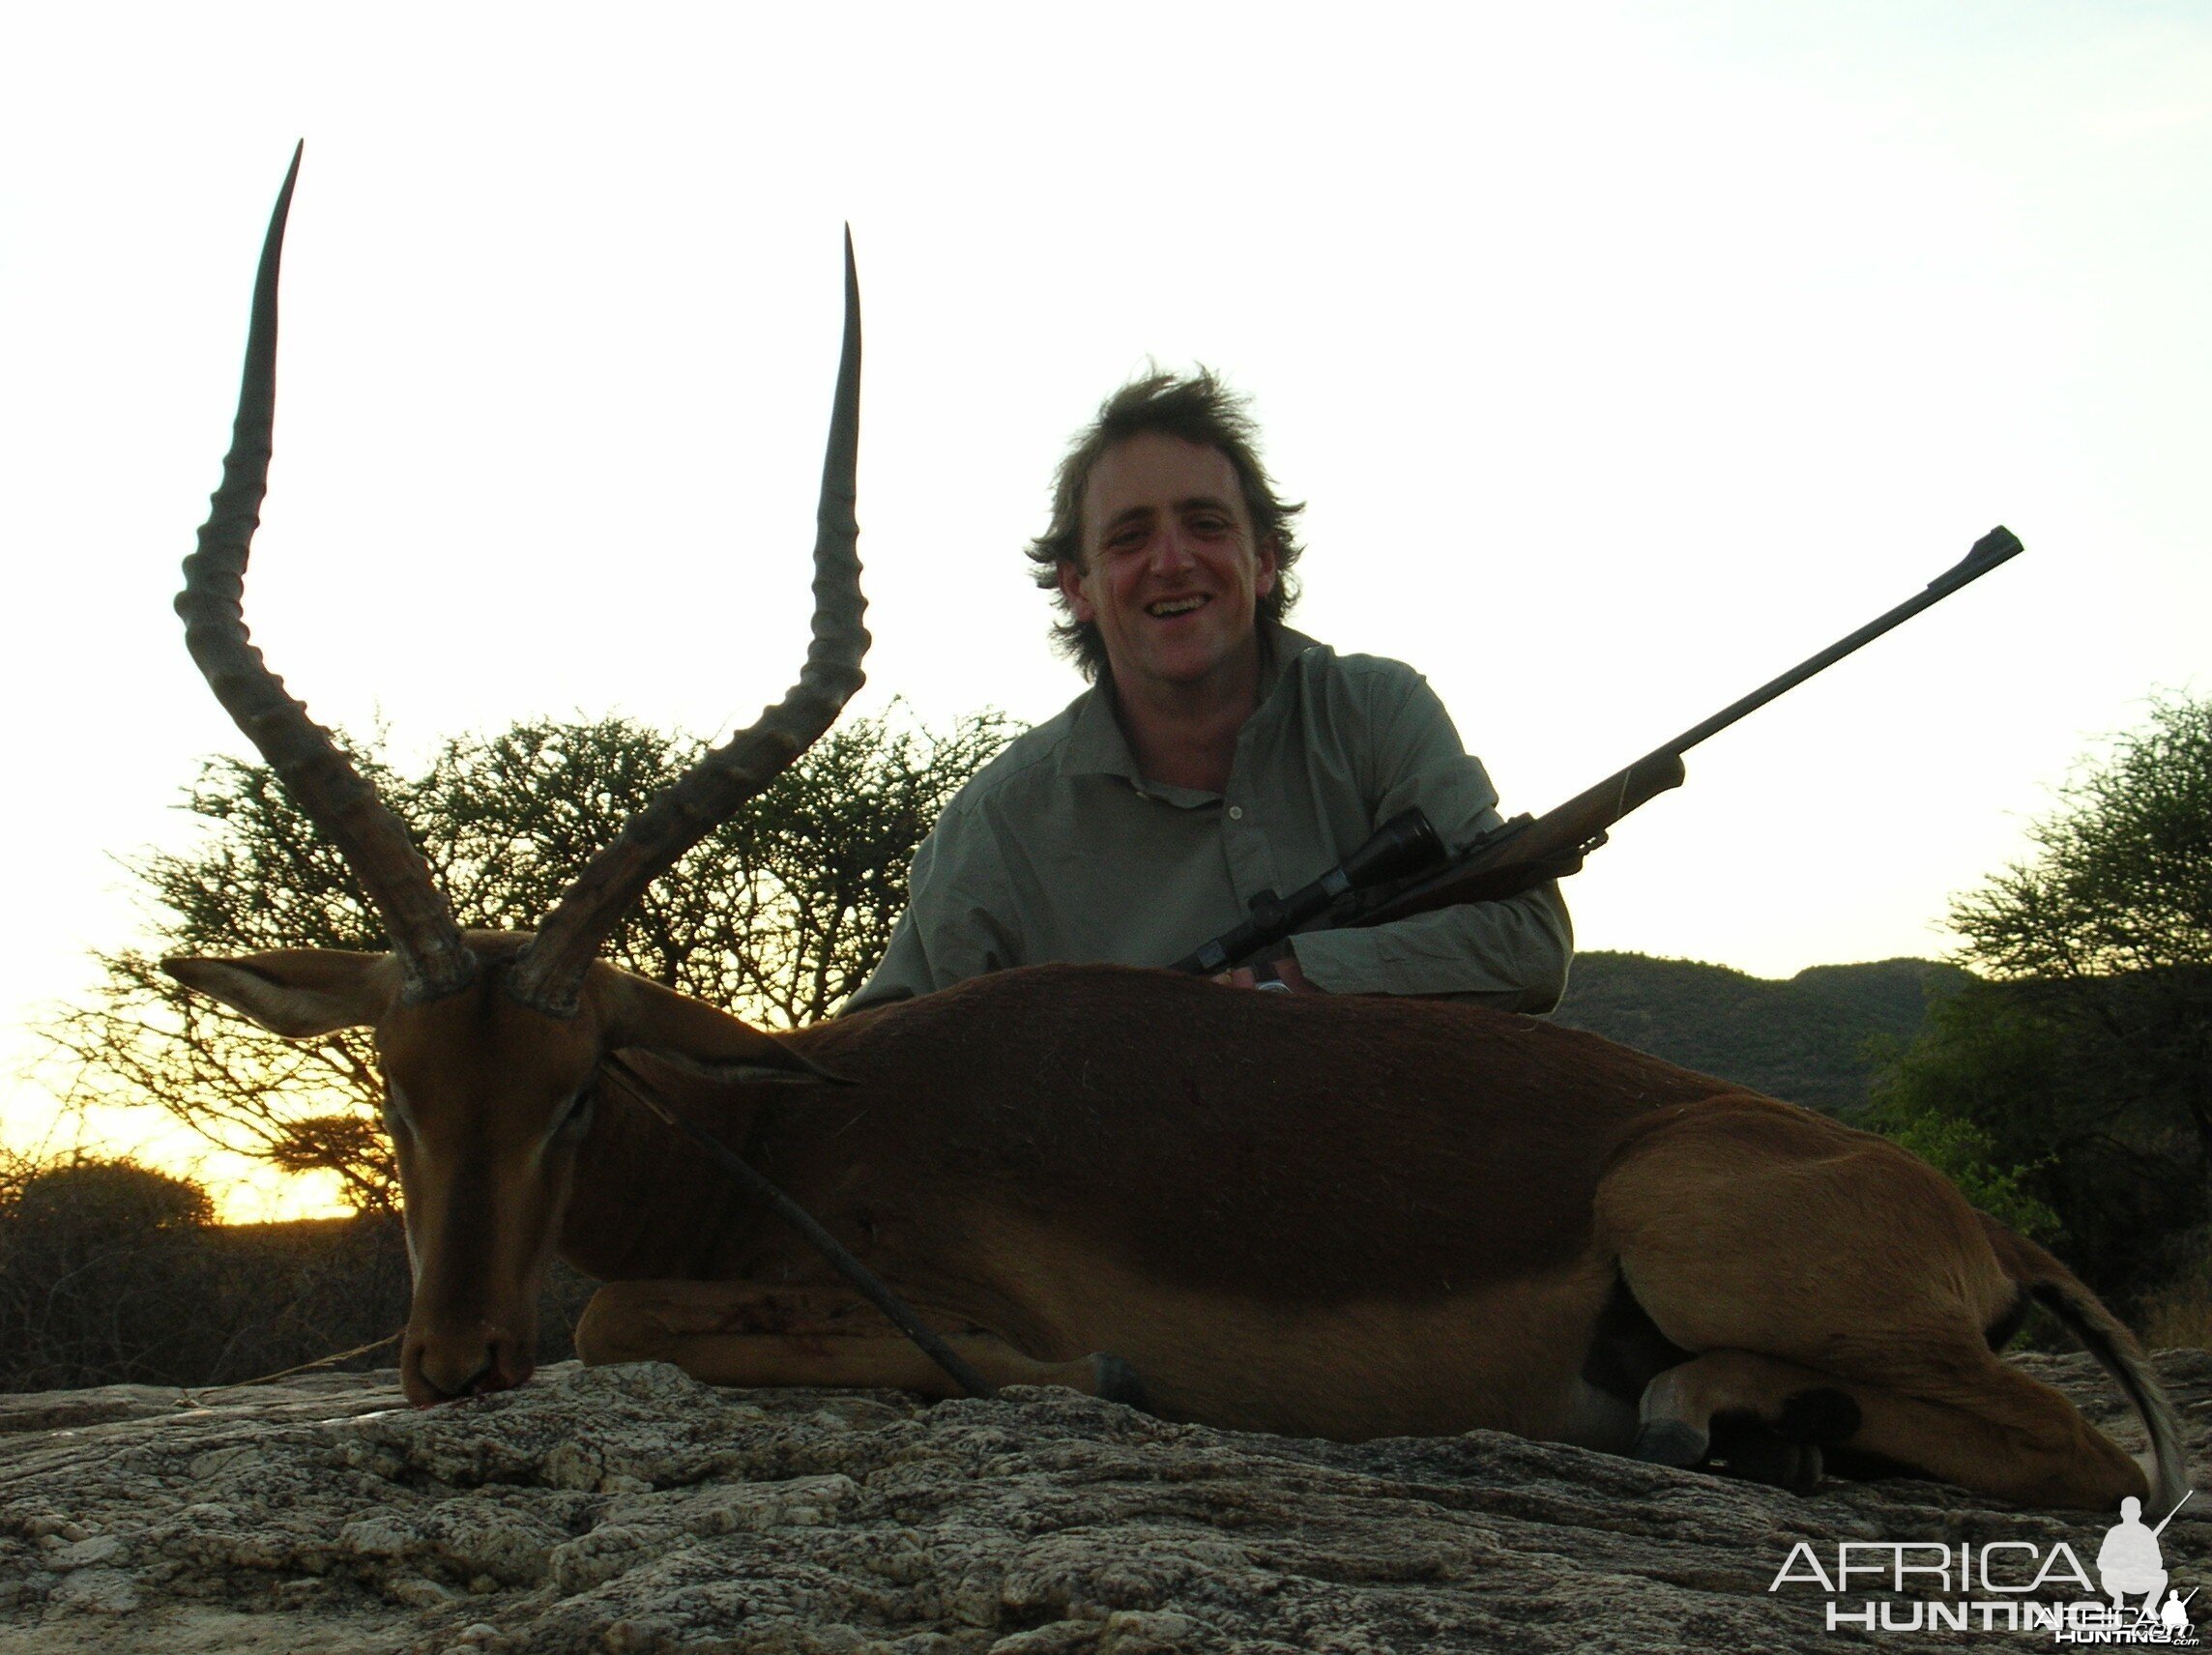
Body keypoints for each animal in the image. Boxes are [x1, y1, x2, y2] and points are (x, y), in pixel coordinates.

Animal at [163, 155, 2185, 1513]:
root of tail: (1966, 1211)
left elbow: (640, 1324)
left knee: (2082, 1461)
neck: (778, 1126)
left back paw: (1729, 1419)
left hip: (1685, 1223)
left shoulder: (940, 1307)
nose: (450, 1364)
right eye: (398, 1080)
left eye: (578, 1083)